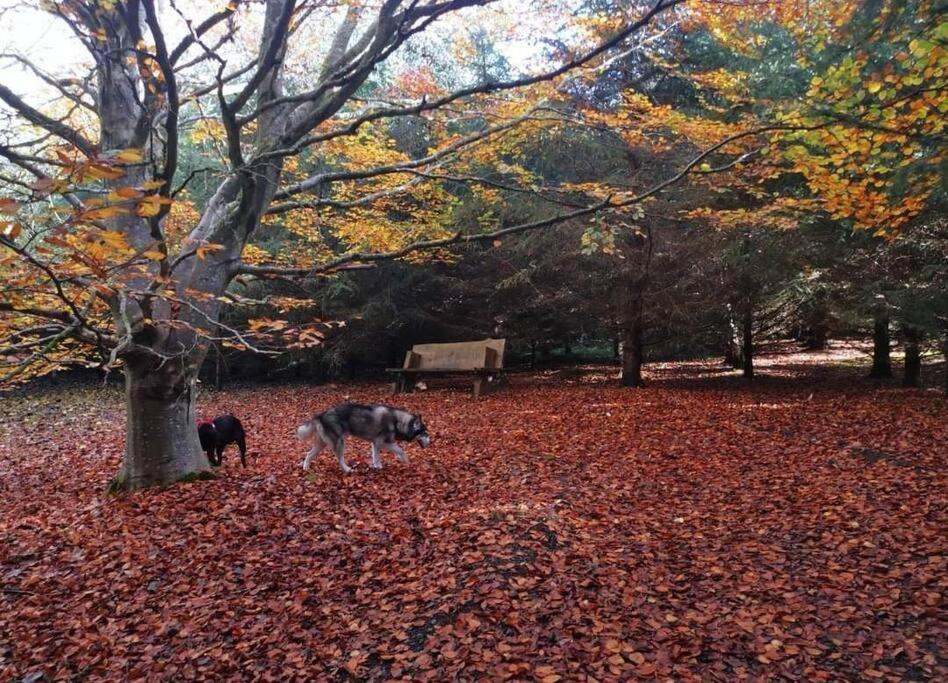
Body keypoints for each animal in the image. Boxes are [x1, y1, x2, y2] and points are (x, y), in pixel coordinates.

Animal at [296, 403, 430, 473]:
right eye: (424, 433)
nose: (431, 441)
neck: (398, 421)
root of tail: (320, 415)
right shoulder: (382, 442)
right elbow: (400, 450)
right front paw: (405, 460)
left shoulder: (375, 443)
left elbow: (376, 456)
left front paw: (377, 466)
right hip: (340, 443)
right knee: (340, 459)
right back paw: (347, 469)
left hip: (322, 444)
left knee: (309, 454)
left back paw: (306, 467)